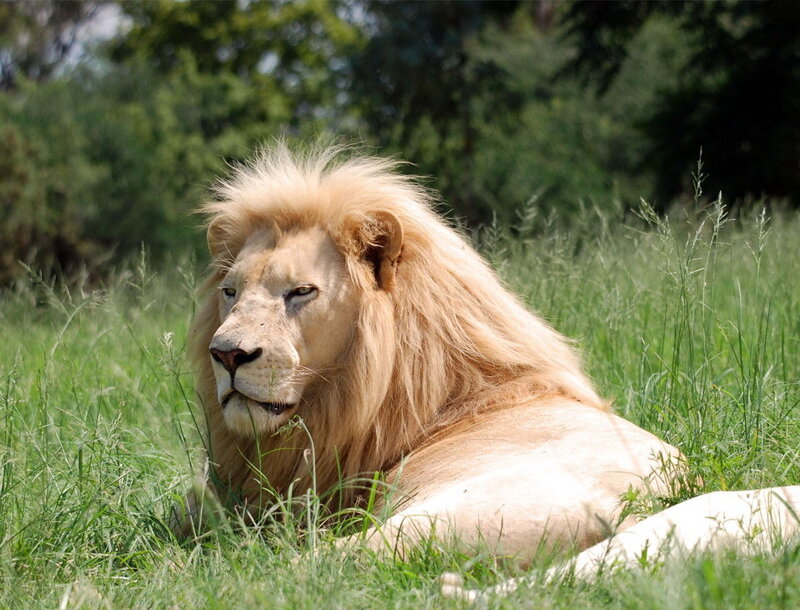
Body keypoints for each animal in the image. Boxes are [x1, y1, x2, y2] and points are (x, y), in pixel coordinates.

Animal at [178, 143, 800, 569]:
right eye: (230, 292)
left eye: (300, 292)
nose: (227, 355)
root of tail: (641, 513)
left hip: (434, 517)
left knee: (301, 563)